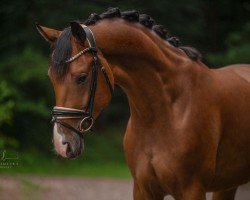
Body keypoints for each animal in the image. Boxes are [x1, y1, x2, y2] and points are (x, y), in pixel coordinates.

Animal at [35, 7, 250, 200]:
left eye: (81, 77)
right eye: (51, 78)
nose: (61, 143)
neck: (168, 111)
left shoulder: (192, 190)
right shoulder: (142, 189)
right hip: (227, 184)